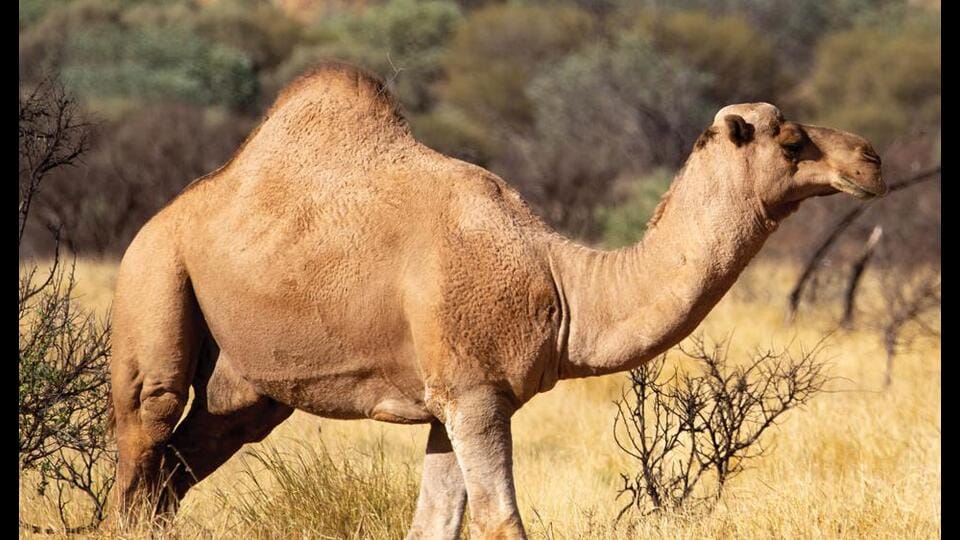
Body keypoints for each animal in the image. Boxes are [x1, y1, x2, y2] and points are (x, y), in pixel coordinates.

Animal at [110, 61, 885, 539]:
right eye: (792, 140)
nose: (872, 158)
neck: (564, 285)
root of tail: (163, 216)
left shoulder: (456, 401)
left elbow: (432, 524)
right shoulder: (475, 394)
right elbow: (500, 521)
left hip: (247, 389)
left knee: (177, 471)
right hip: (155, 279)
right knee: (143, 443)